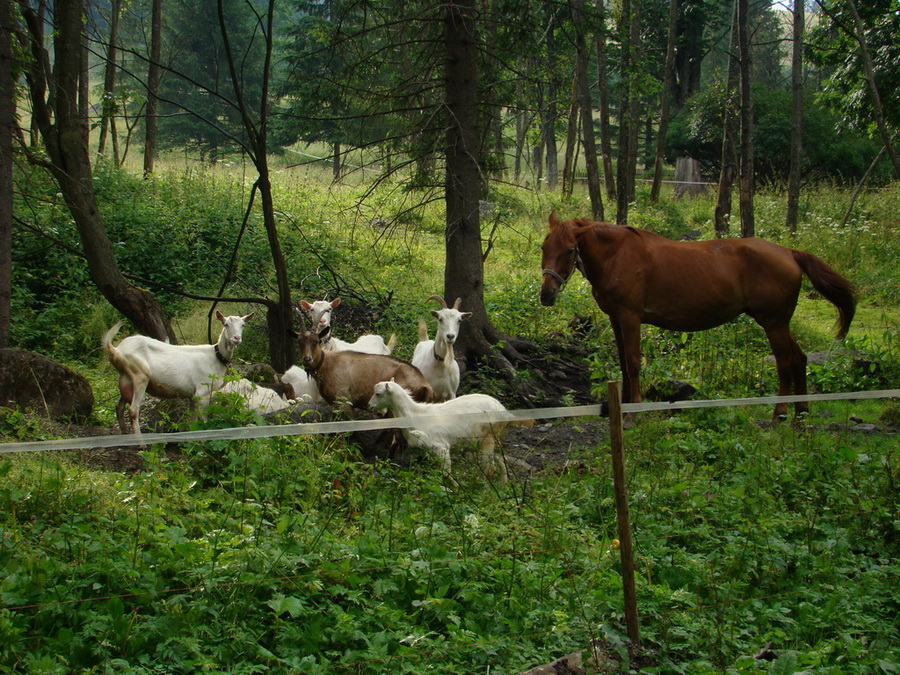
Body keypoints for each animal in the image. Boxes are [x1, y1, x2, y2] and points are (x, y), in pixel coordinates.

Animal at [103, 310, 255, 434]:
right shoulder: (202, 392)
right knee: (133, 410)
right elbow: (204, 419)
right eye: (225, 324)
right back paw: (141, 444)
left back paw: (125, 432)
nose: (236, 338)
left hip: (126, 379)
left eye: (243, 325)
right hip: (140, 375)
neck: (215, 356)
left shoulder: (192, 396)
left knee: (119, 407)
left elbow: (193, 420)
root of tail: (116, 350)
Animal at [288, 326, 428, 410]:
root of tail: (425, 386)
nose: (307, 359)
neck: (327, 364)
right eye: (299, 342)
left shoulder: (345, 401)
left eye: (317, 341)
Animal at [370, 378, 512, 484]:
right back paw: (502, 485)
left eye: (378, 393)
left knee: (489, 468)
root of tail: (503, 409)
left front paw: (455, 490)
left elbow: (446, 474)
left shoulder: (441, 447)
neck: (415, 415)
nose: (370, 405)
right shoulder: (429, 450)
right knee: (500, 459)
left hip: (488, 438)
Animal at [540, 213, 856, 422]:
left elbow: (633, 363)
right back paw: (800, 411)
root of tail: (789, 253)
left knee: (785, 362)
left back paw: (780, 411)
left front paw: (633, 412)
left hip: (773, 323)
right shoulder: (617, 319)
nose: (546, 294)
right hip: (779, 322)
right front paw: (625, 405)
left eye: (569, 250)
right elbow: (623, 364)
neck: (617, 255)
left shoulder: (630, 317)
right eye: (544, 247)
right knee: (799, 358)